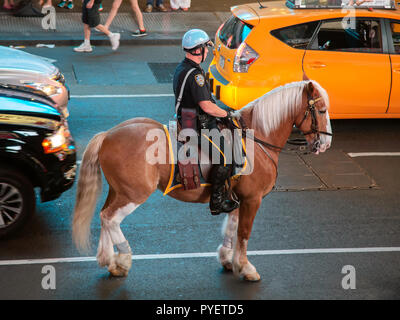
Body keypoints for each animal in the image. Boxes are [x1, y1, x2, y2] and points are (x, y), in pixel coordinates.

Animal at [71, 79, 332, 280]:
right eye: (321, 110)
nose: (326, 143)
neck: (257, 138)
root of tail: (108, 135)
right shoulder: (252, 199)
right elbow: (244, 232)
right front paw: (245, 267)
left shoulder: (236, 198)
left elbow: (232, 228)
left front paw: (228, 259)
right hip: (133, 194)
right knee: (111, 218)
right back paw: (123, 259)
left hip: (118, 191)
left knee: (104, 216)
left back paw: (108, 260)